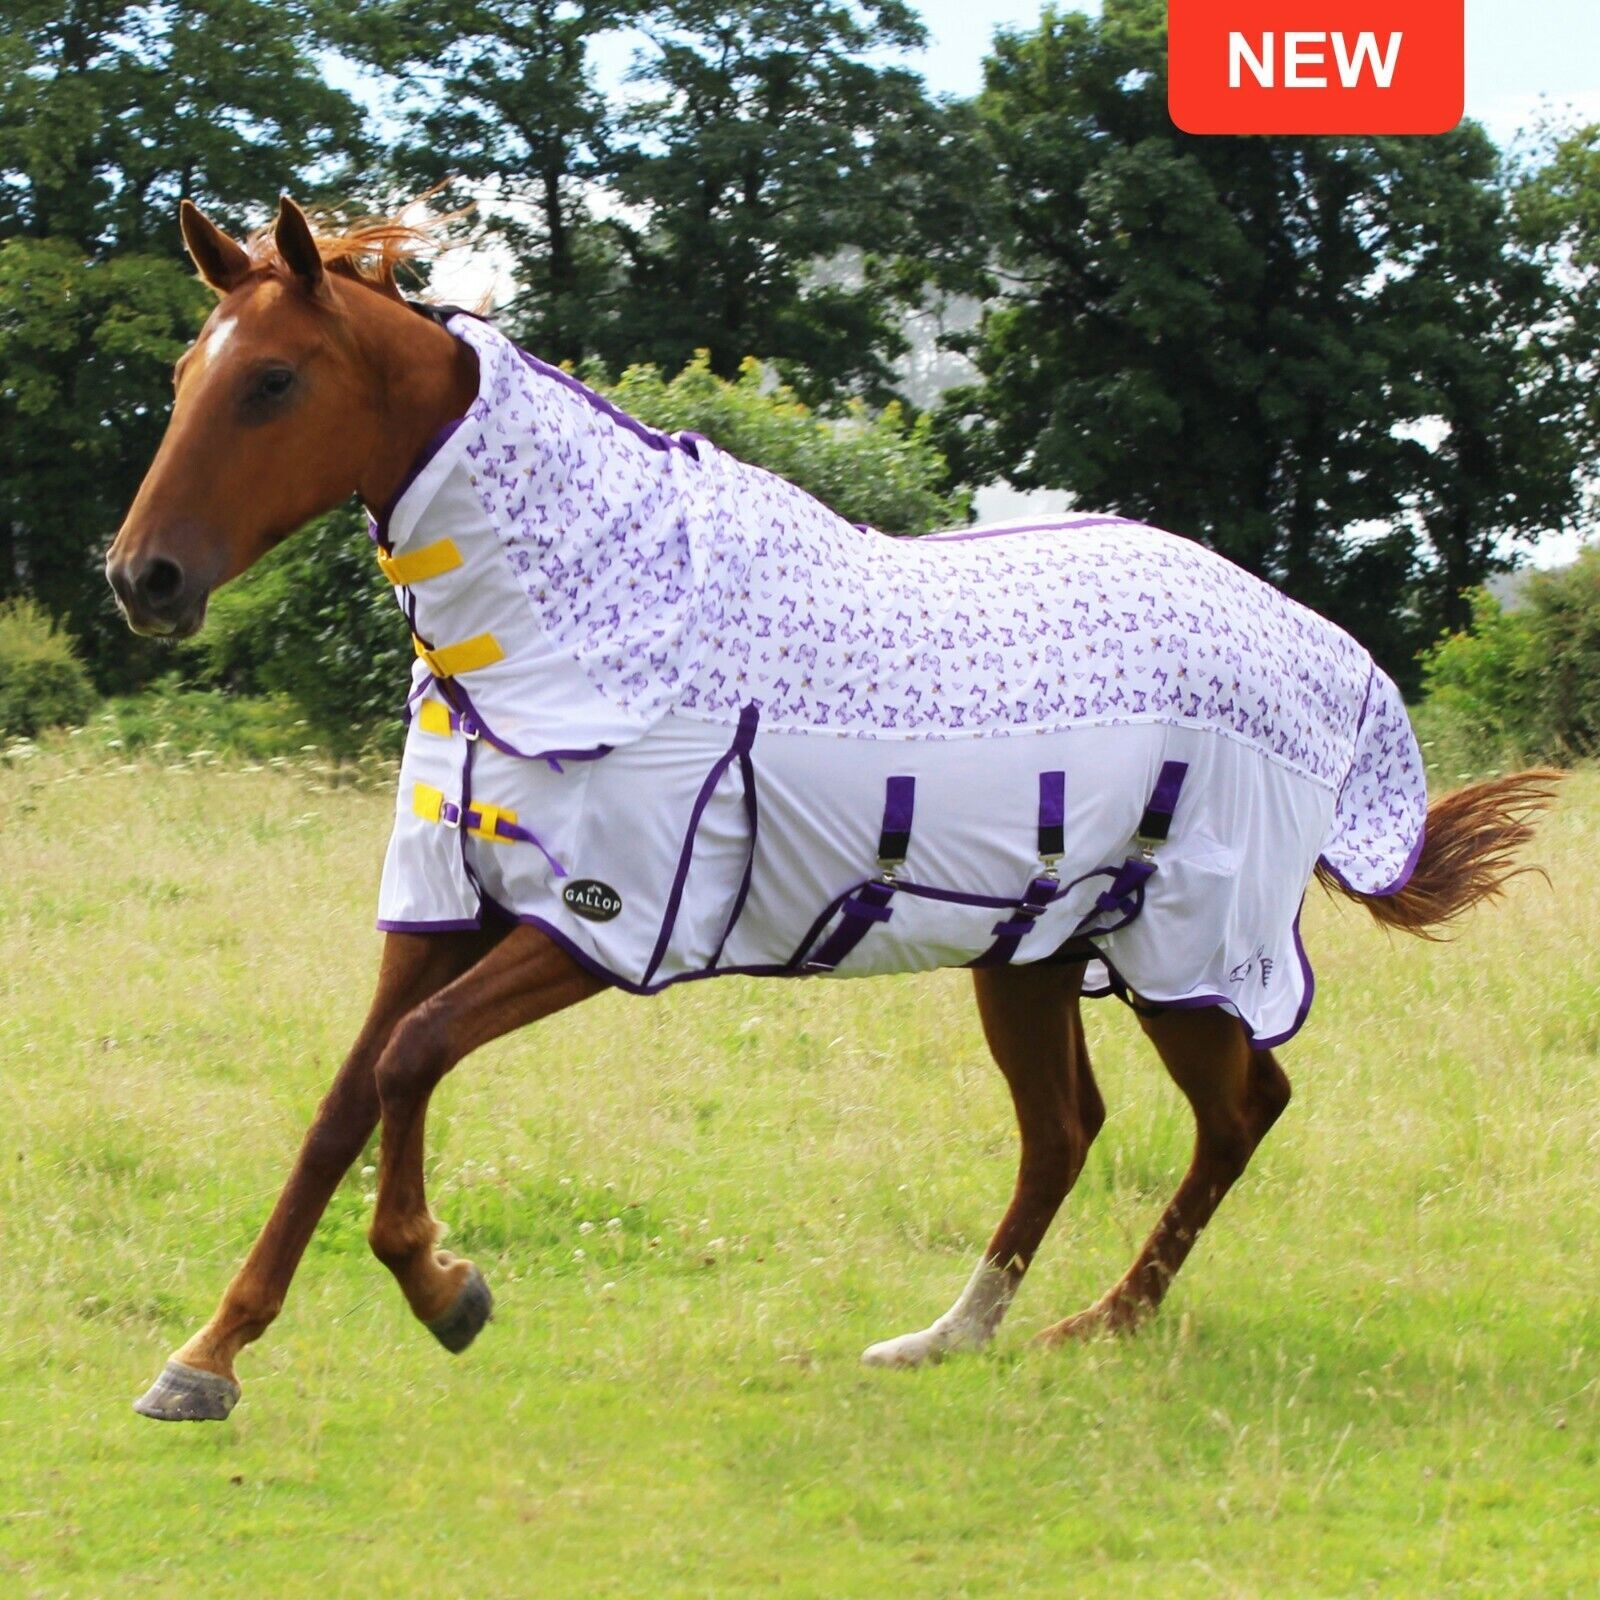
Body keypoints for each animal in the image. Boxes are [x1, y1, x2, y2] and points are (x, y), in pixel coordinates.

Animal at [105, 197, 1558, 1422]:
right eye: (184, 378)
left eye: (274, 381)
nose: (142, 578)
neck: (576, 630)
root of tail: (1328, 657)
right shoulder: (446, 910)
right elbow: (342, 1107)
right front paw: (207, 1357)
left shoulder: (603, 926)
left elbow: (412, 1061)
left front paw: (441, 1286)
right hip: (1031, 952)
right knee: (1066, 1131)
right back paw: (950, 1335)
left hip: (1185, 962)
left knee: (1242, 1110)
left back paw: (1104, 1324)